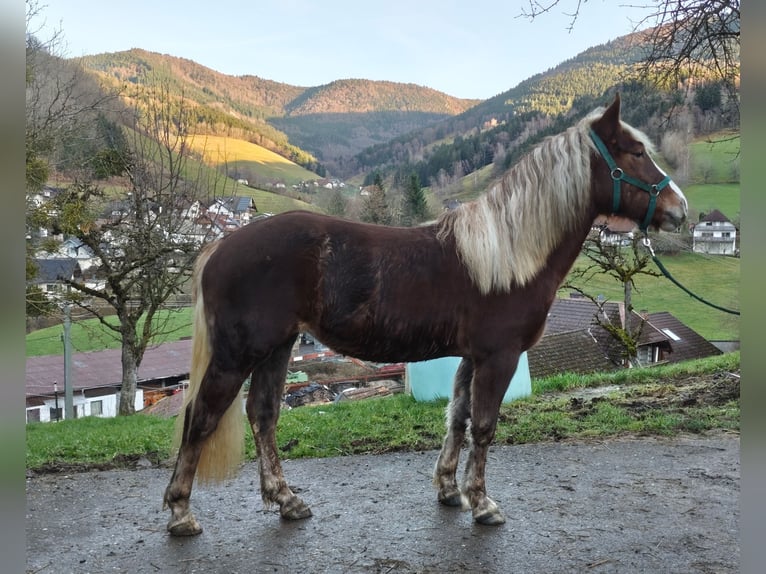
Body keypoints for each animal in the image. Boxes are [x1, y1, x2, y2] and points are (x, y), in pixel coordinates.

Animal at [163, 93, 687, 535]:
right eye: (633, 153)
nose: (679, 209)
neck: (507, 254)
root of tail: (221, 245)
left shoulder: (472, 357)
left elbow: (457, 417)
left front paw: (450, 490)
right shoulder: (498, 356)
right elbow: (484, 426)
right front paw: (483, 504)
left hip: (277, 347)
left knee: (263, 414)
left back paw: (287, 500)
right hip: (238, 354)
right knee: (201, 417)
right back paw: (181, 511)